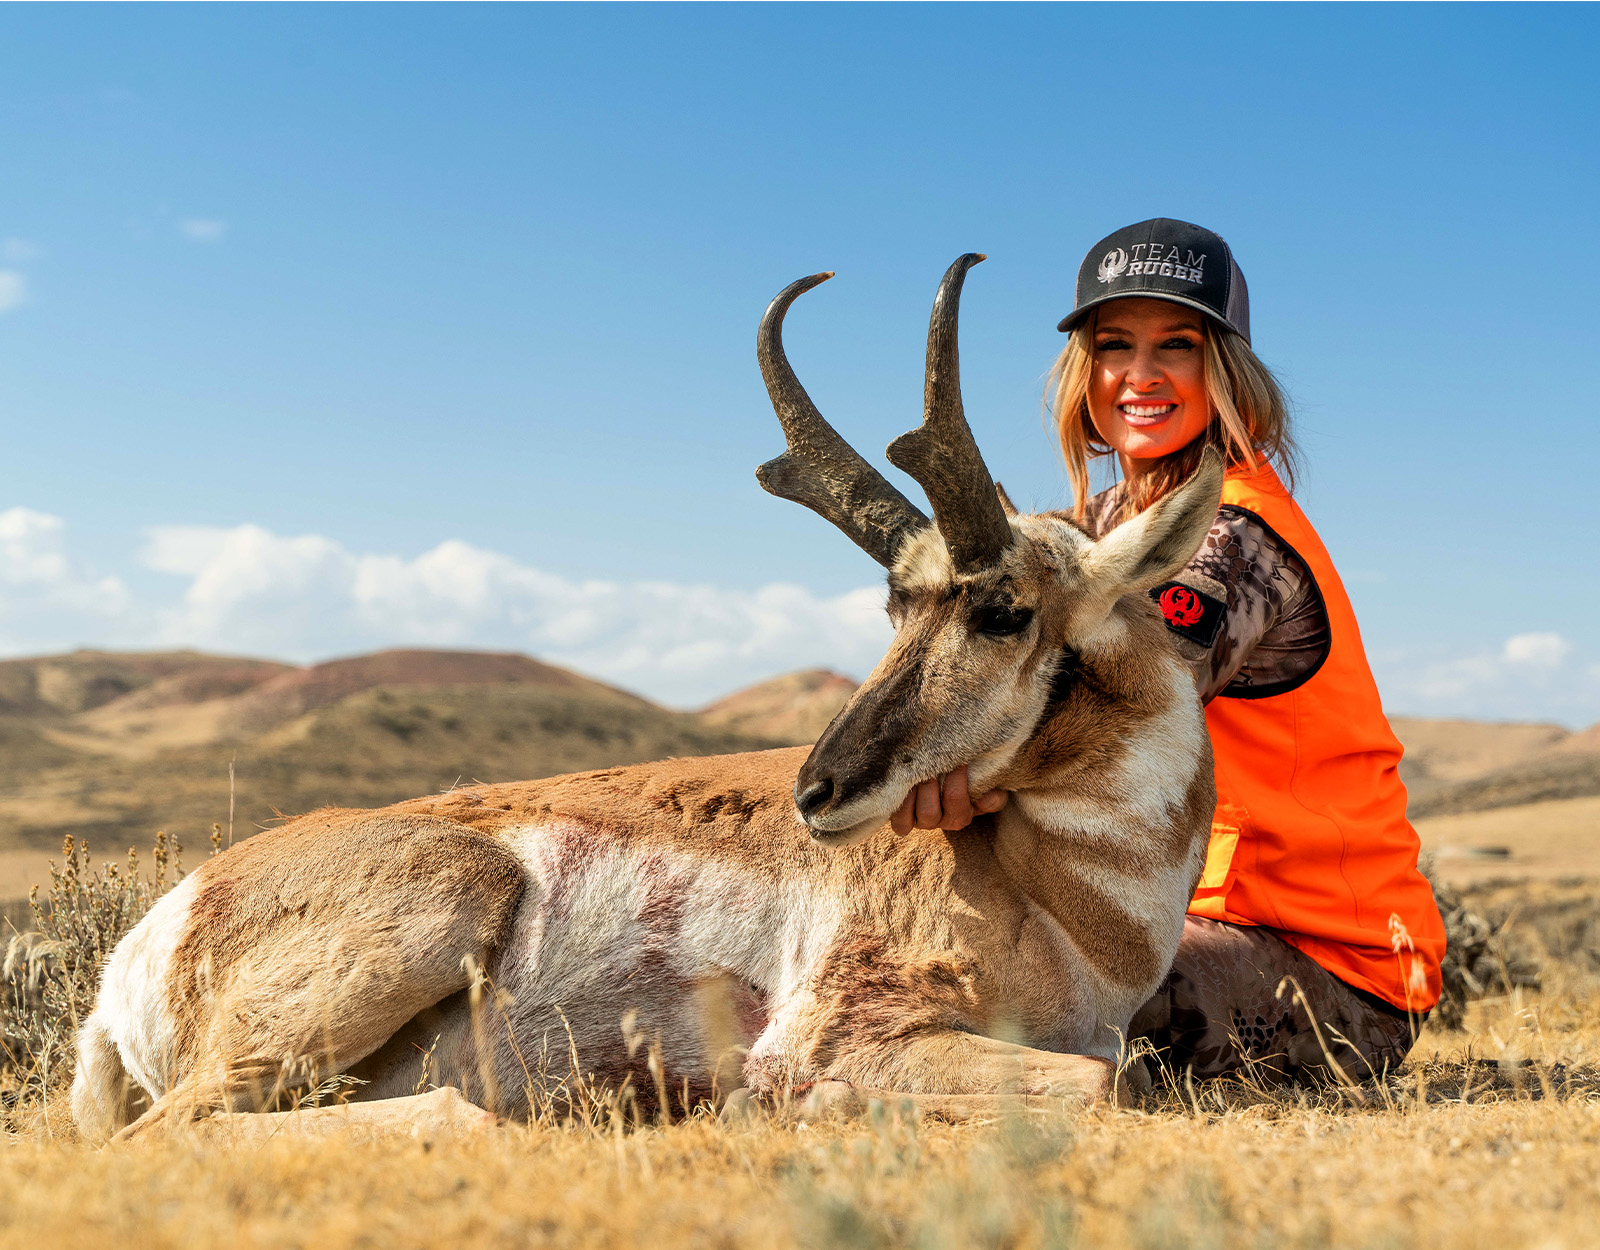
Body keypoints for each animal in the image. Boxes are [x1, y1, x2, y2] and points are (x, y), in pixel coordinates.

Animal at [68, 252, 1216, 1139]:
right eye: (897, 603)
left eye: (1004, 611)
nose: (817, 790)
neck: (1077, 897)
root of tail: (161, 924)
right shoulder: (847, 1033)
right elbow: (1102, 1079)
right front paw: (785, 1105)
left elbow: (1116, 1067)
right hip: (437, 909)